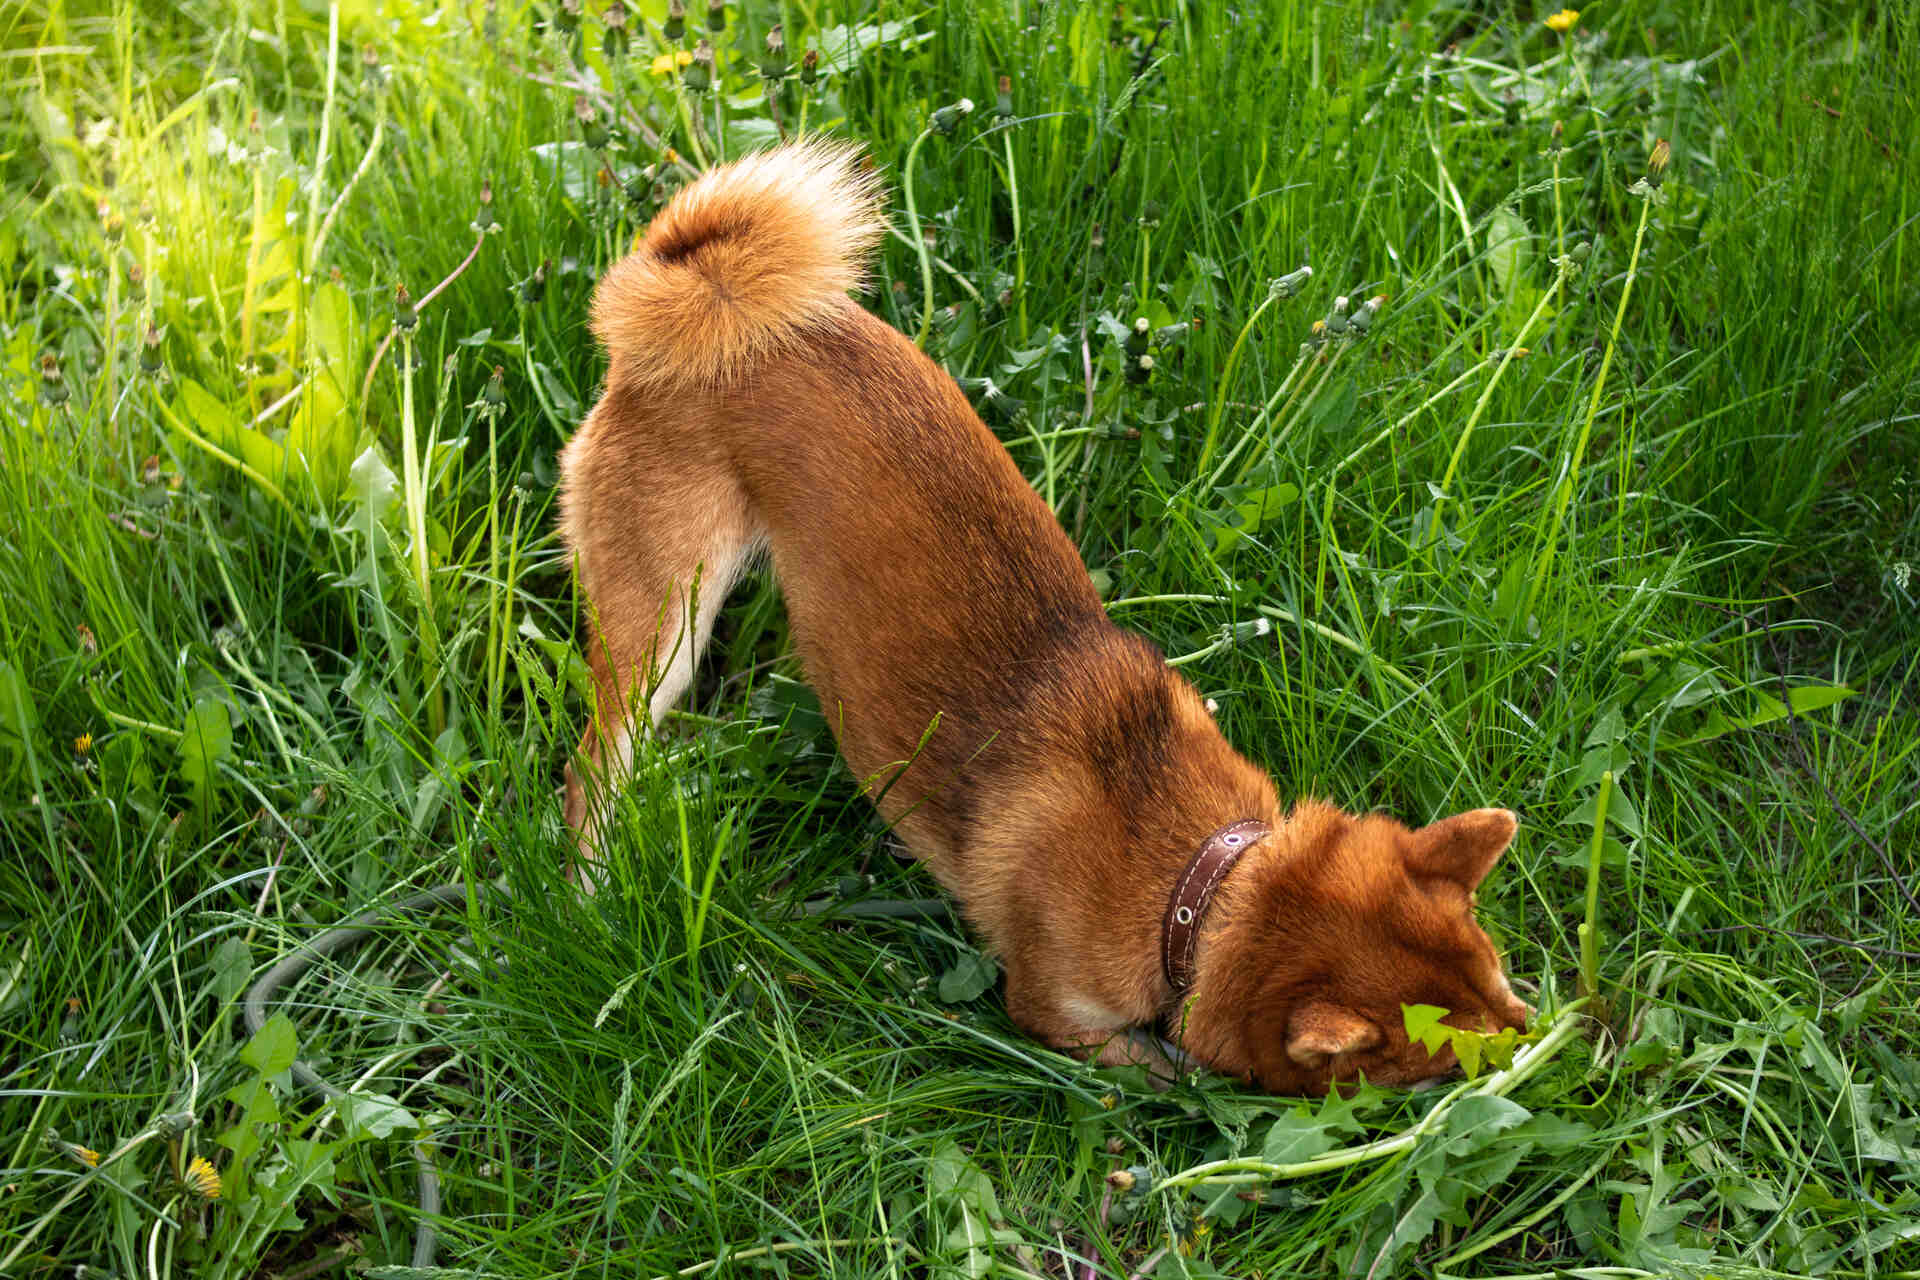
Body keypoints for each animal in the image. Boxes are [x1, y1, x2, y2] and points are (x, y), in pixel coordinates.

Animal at [560, 144, 1528, 1097]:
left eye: (1497, 973)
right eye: (1440, 1064)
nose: (1537, 1039)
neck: (1198, 883)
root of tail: (696, 306)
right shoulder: (1059, 1019)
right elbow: (1160, 1070)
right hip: (664, 627)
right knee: (592, 769)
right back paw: (590, 892)